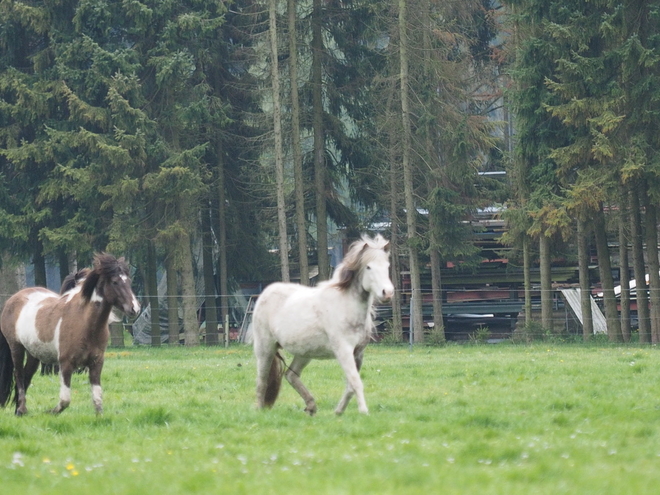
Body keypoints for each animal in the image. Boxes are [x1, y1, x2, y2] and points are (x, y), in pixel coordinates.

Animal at [0, 254, 138, 416]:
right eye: (115, 282)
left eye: (129, 281)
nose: (134, 309)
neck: (84, 322)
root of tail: (11, 300)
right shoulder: (65, 363)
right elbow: (65, 400)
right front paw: (50, 412)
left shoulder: (96, 362)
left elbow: (97, 398)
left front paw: (99, 417)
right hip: (16, 348)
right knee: (19, 375)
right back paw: (21, 409)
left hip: (34, 353)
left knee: (27, 376)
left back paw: (19, 411)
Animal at [251, 234, 392, 416]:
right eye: (368, 267)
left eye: (387, 266)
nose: (387, 293)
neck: (347, 306)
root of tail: (265, 294)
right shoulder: (344, 350)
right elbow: (355, 381)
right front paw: (363, 412)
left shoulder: (358, 354)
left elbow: (350, 385)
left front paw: (338, 412)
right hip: (265, 348)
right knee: (262, 380)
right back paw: (259, 410)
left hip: (304, 353)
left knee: (291, 375)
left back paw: (311, 406)